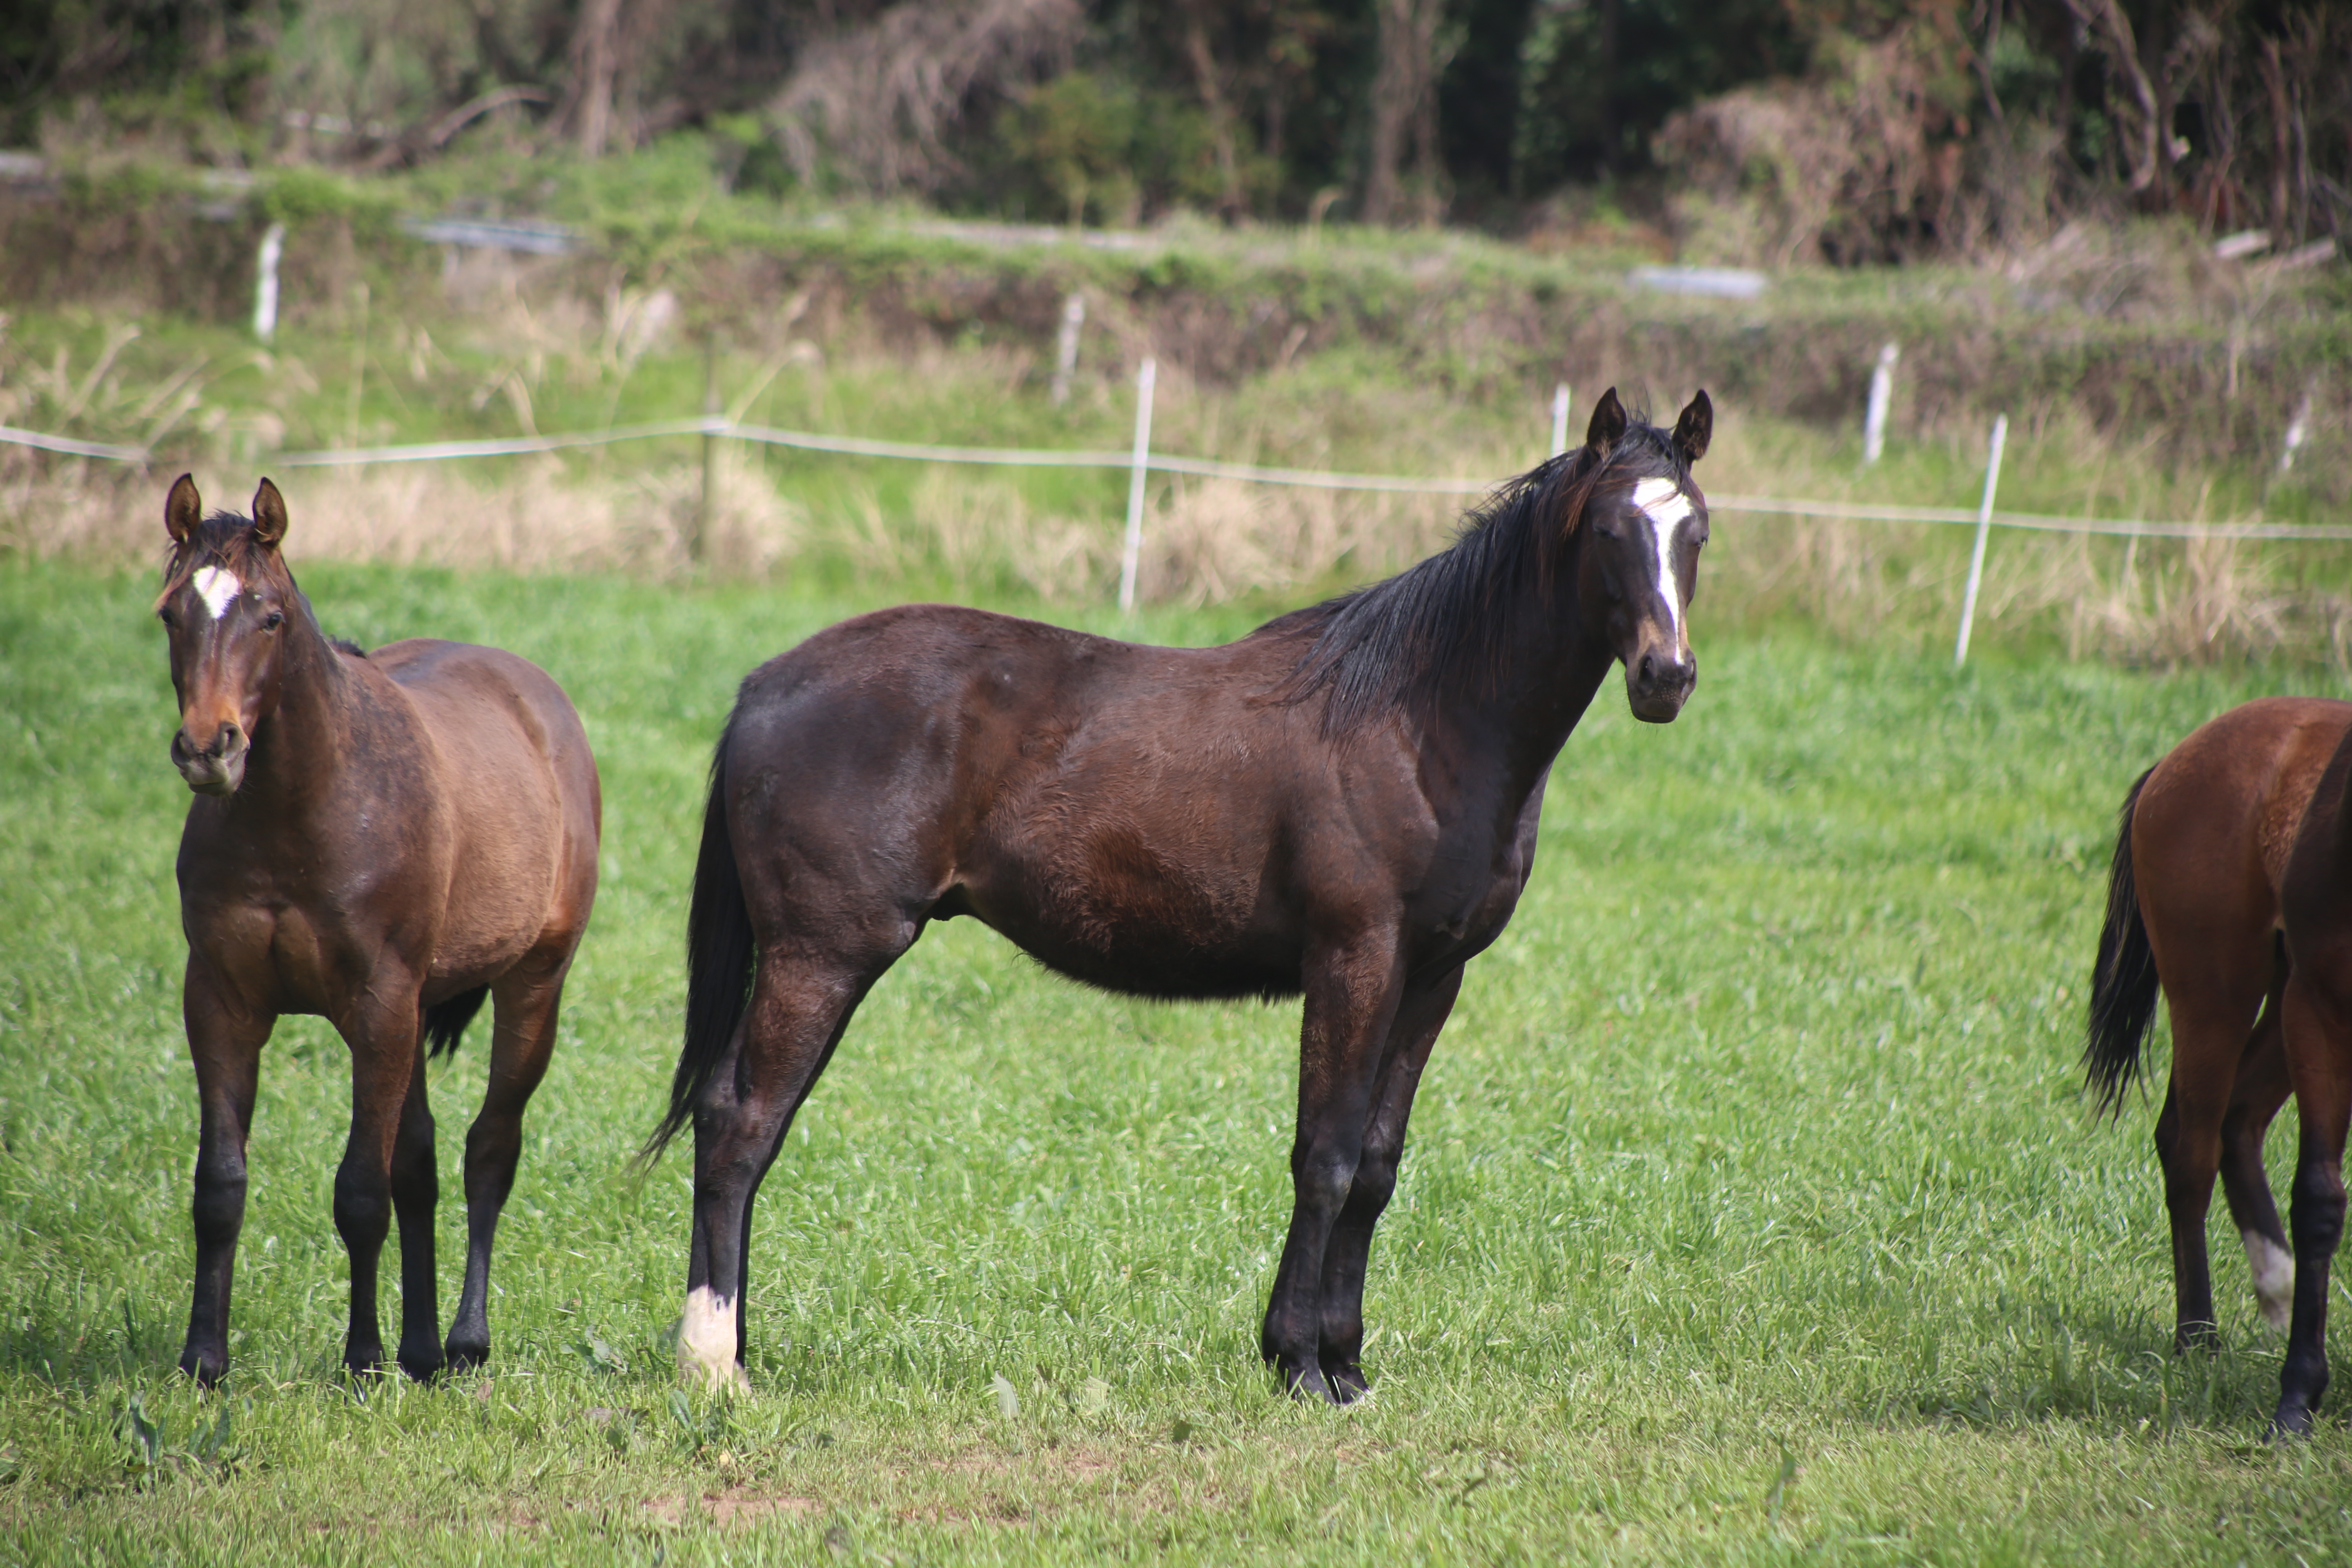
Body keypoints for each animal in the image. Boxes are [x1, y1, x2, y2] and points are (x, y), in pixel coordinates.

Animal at [155, 479, 597, 1382]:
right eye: (172, 613)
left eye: (270, 617)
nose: (209, 748)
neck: (301, 809)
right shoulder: (220, 1001)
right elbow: (221, 1187)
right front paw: (204, 1358)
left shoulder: (378, 1004)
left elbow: (361, 1191)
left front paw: (360, 1359)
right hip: (416, 1012)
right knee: (421, 1165)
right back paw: (421, 1349)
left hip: (530, 985)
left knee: (488, 1150)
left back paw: (462, 1341)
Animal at [654, 385, 1722, 1401]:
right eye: (1607, 529)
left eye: (1696, 531)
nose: (1664, 676)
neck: (1420, 722)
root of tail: (764, 686)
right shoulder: (1354, 960)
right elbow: (1325, 1157)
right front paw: (1299, 1364)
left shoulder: (1432, 978)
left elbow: (1376, 1167)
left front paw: (1348, 1362)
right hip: (824, 953)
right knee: (741, 1123)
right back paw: (713, 1364)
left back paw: (738, 1350)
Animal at [2088, 700, 2342, 1439]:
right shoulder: (2320, 1015)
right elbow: (2320, 1196)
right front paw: (2296, 1401)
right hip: (2218, 991)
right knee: (2191, 1145)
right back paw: (2198, 1335)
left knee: (2238, 1120)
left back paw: (2276, 1290)